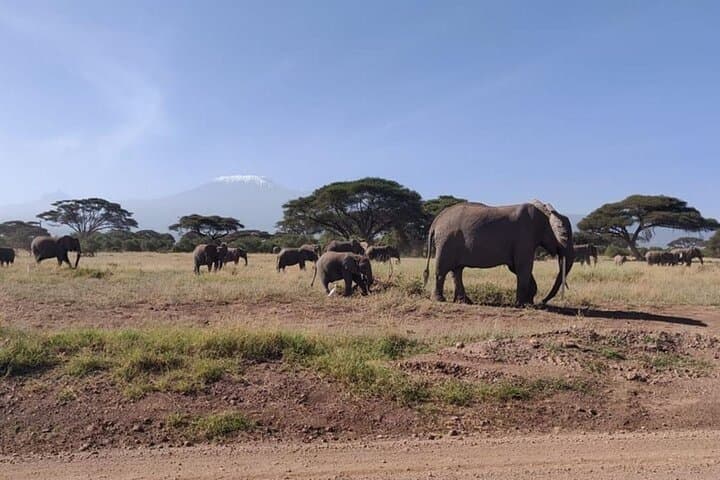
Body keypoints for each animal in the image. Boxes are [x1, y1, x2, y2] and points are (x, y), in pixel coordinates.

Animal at [423, 200, 574, 306]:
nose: (542, 301)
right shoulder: (524, 237)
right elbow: (523, 267)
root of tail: (435, 222)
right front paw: (523, 304)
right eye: (565, 235)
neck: (544, 214)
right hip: (446, 241)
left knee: (457, 271)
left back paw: (464, 301)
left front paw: (528, 302)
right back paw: (440, 300)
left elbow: (516, 268)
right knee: (443, 270)